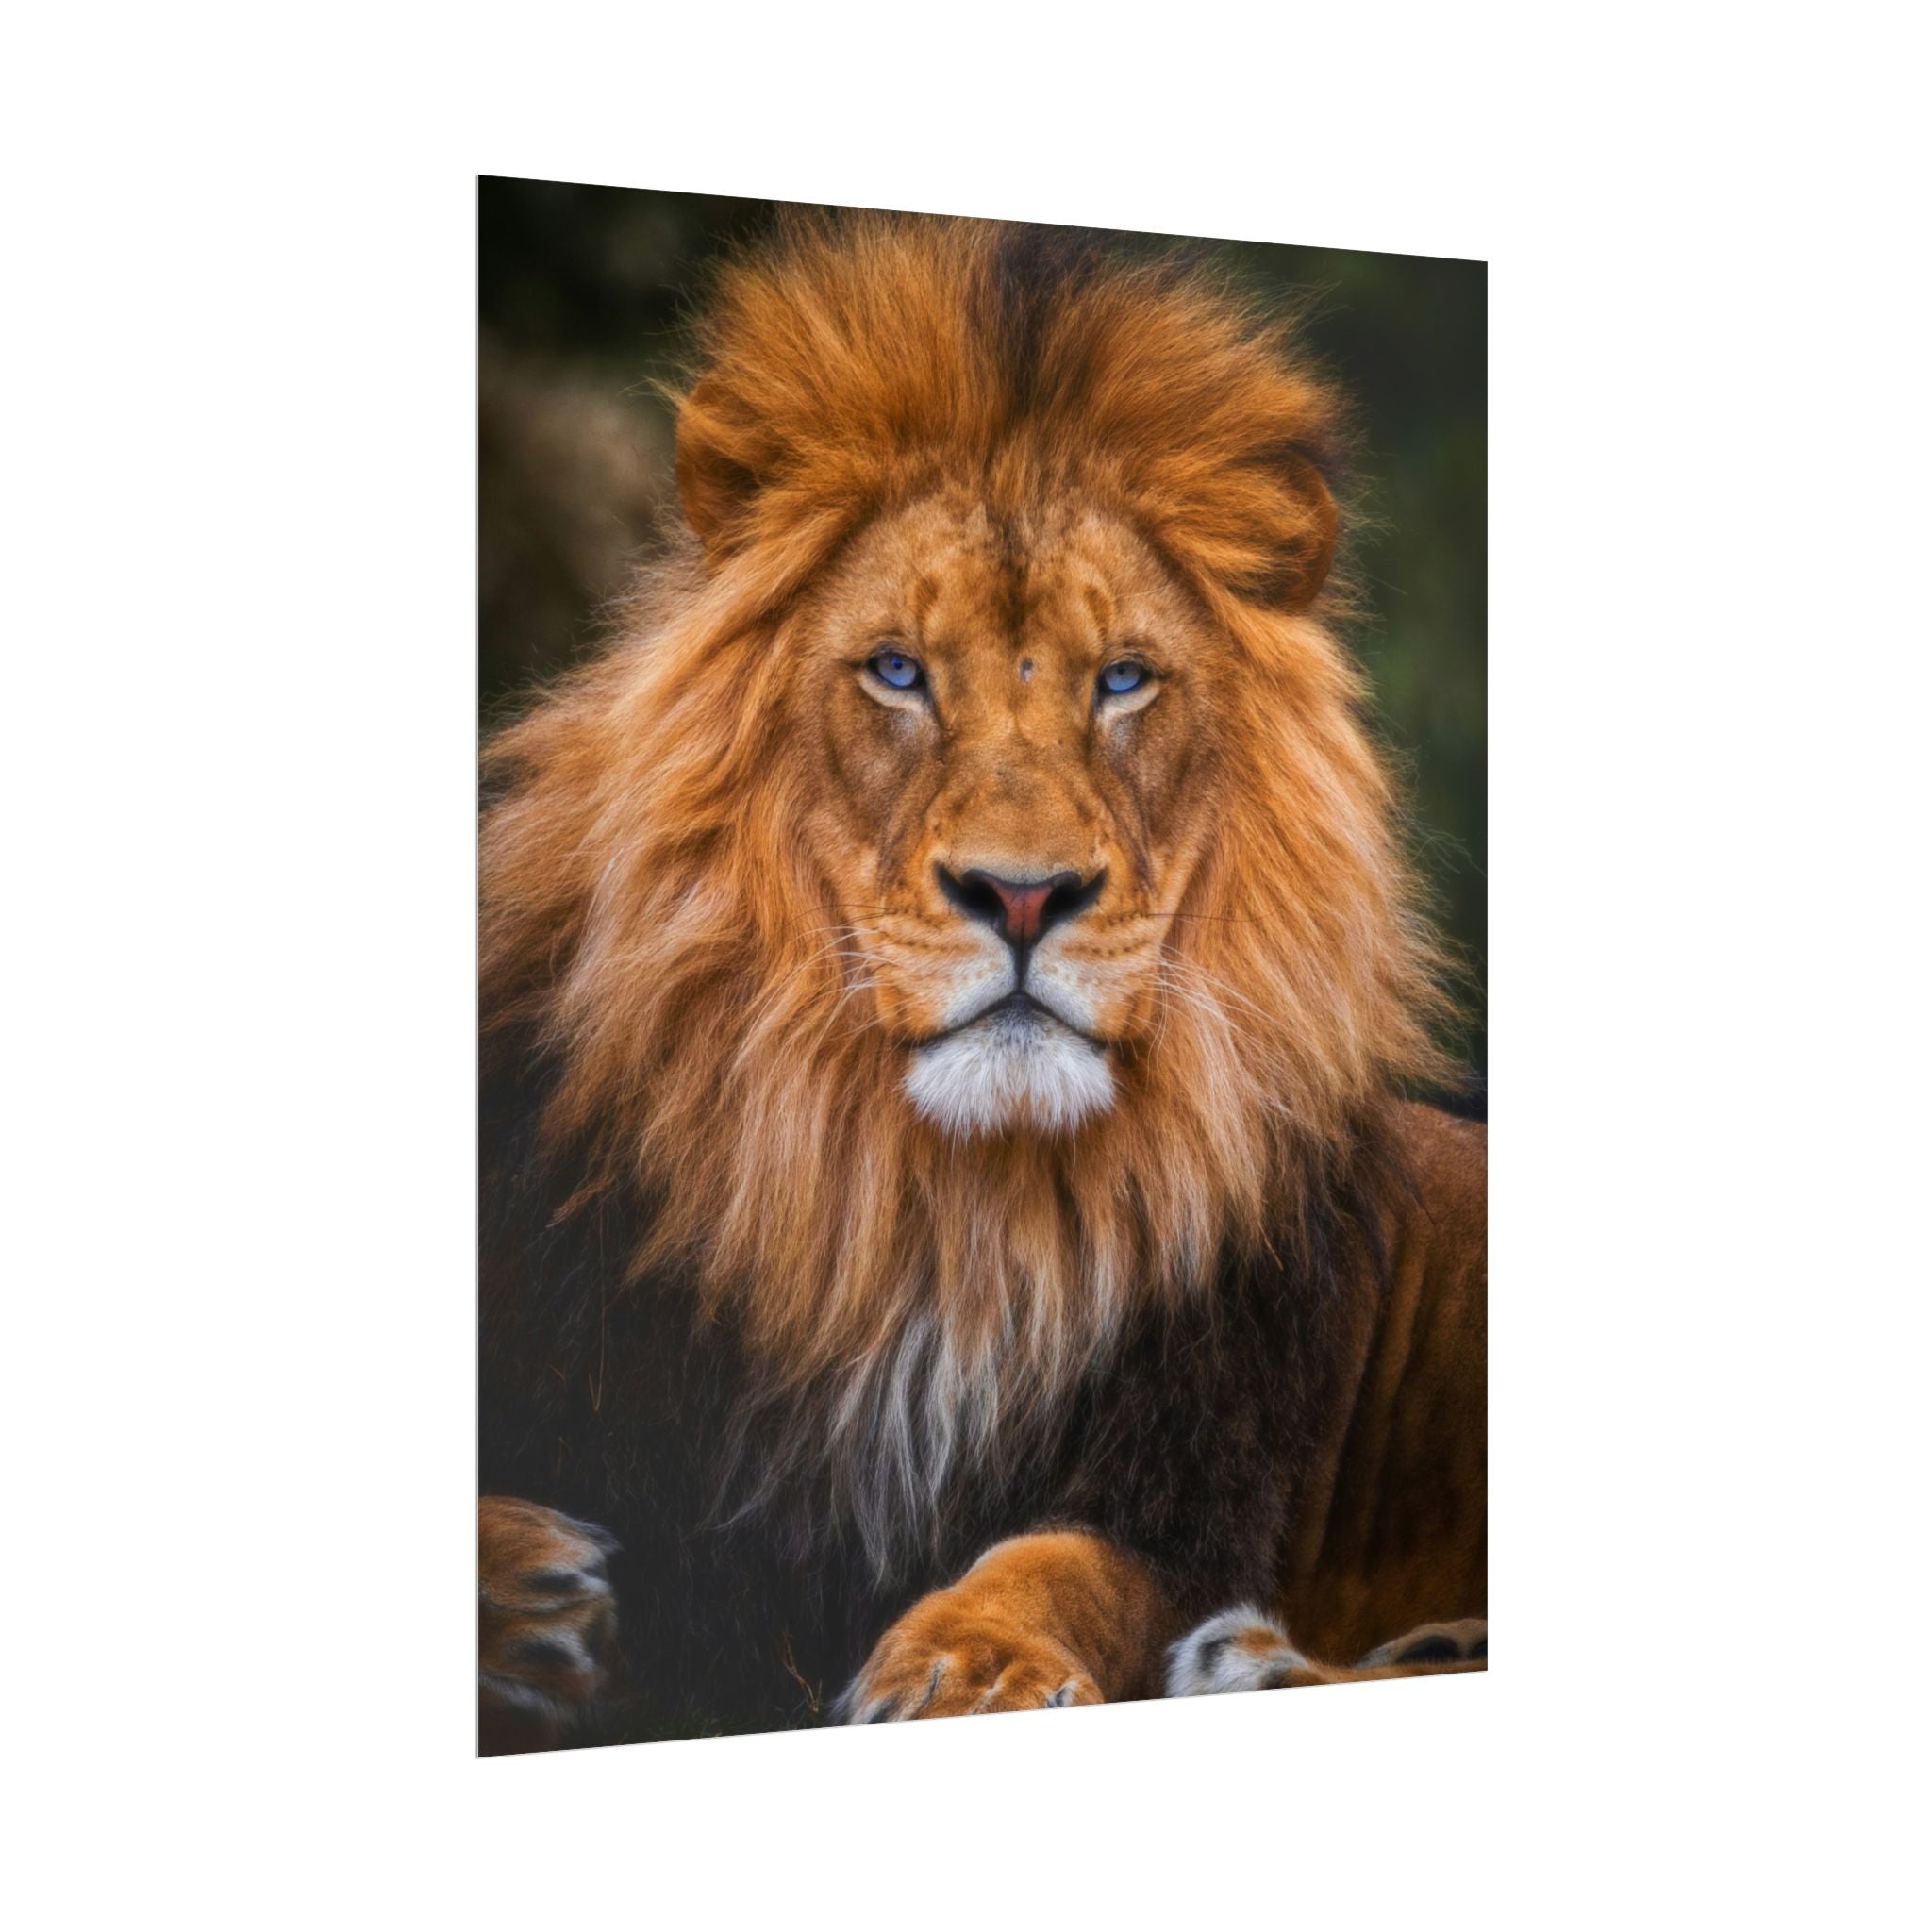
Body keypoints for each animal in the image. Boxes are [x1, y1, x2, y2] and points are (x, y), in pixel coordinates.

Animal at [478, 212, 1485, 1750]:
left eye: (1122, 680)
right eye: (898, 671)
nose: (1022, 894)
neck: (938, 1210)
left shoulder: (1190, 1487)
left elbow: (1061, 1561)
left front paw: (968, 1662)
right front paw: (528, 1593)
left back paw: (1257, 1660)